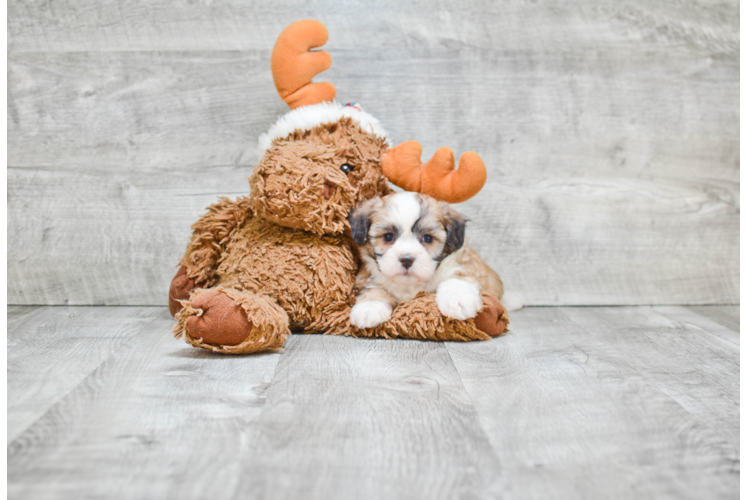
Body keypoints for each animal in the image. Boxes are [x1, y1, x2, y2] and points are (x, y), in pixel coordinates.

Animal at [348, 190, 512, 328]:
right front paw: (369, 307)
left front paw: (458, 301)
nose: (406, 260)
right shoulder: (368, 275)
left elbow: (457, 279)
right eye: (388, 236)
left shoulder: (463, 263)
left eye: (427, 238)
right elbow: (373, 288)